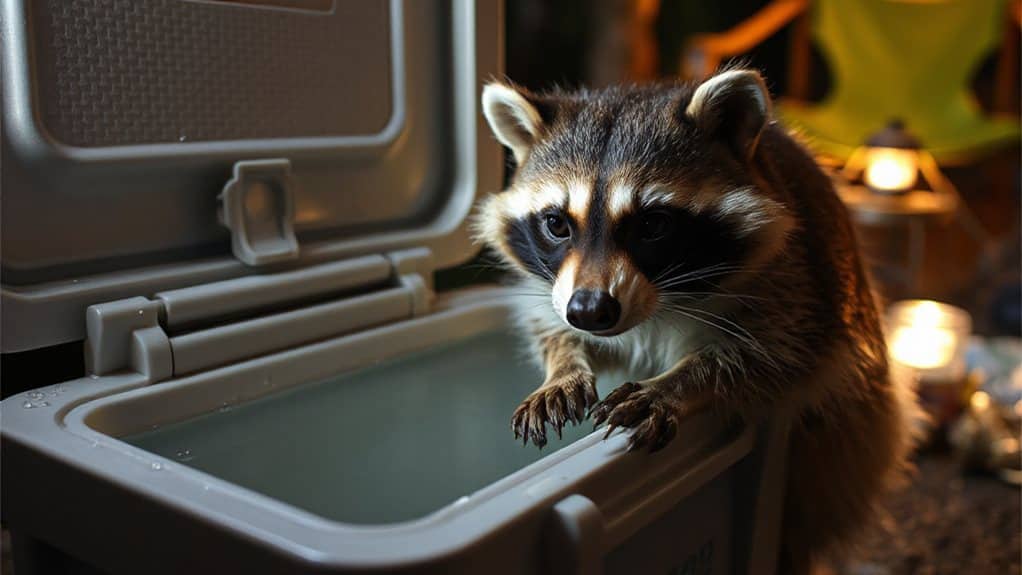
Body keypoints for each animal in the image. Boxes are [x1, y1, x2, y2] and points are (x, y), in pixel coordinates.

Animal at [474, 69, 920, 572]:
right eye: (556, 224)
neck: (656, 305)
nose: (590, 311)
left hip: (847, 445)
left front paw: (679, 383)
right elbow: (549, 324)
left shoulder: (799, 279)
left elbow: (777, 355)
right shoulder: (555, 290)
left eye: (652, 225)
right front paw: (563, 365)